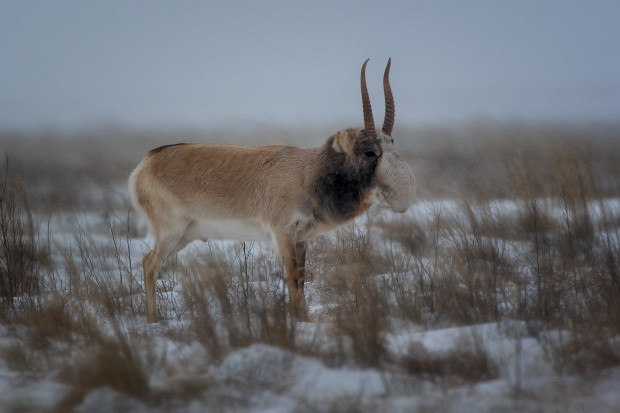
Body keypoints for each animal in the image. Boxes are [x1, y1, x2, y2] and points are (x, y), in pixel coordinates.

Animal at [128, 58, 414, 322]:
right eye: (370, 151)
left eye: (392, 143)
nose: (401, 196)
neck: (310, 171)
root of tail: (147, 163)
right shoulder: (282, 234)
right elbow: (291, 277)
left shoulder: (301, 239)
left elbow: (301, 278)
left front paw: (304, 319)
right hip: (171, 232)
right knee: (150, 265)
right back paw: (153, 321)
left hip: (184, 236)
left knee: (148, 263)